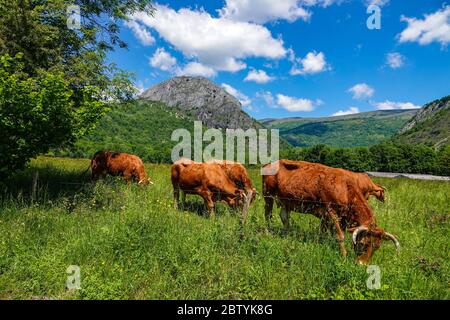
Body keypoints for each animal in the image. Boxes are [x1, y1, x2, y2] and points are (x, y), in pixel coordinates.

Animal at [262, 159, 400, 264]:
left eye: (377, 247)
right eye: (362, 243)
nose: (362, 264)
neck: (345, 188)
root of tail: (269, 163)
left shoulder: (330, 217)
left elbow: (324, 232)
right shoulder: (330, 212)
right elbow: (340, 235)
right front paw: (343, 255)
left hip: (286, 201)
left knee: (284, 217)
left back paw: (289, 234)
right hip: (268, 196)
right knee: (268, 215)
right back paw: (268, 231)